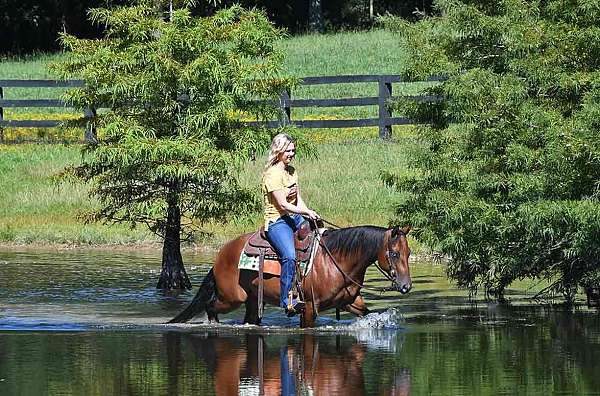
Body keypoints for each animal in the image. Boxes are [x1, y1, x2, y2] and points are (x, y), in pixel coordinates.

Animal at [169, 224, 412, 326]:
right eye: (394, 253)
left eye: (408, 253)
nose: (406, 286)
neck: (335, 259)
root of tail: (221, 255)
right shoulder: (310, 307)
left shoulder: (348, 302)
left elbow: (366, 313)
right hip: (232, 298)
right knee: (210, 306)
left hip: (251, 300)